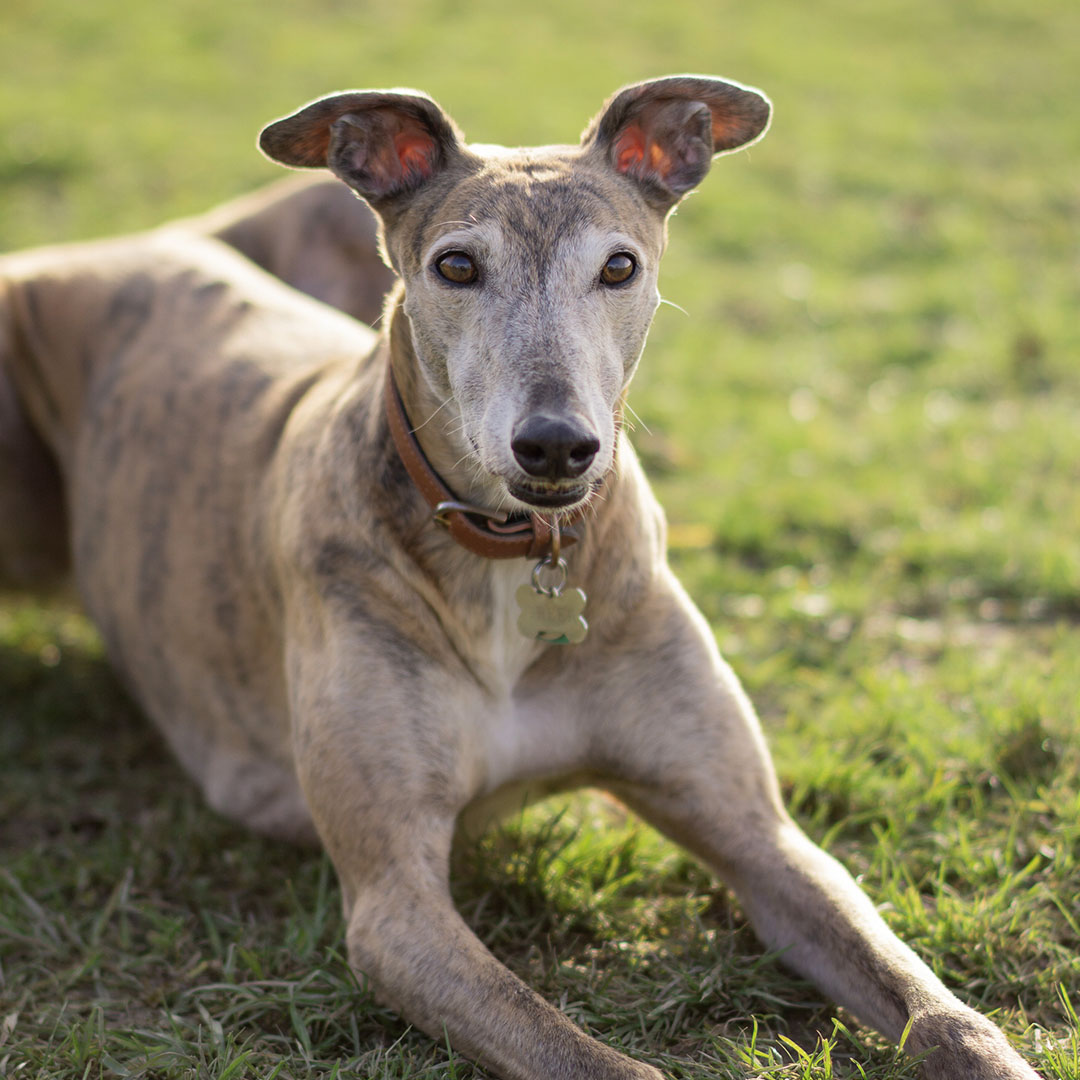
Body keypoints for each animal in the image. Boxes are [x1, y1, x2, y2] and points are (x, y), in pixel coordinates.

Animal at [2, 78, 1045, 1080]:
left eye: (618, 266)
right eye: (457, 266)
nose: (555, 446)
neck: (514, 555)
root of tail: (148, 239)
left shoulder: (761, 834)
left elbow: (937, 1011)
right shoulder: (396, 905)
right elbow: (585, 1056)